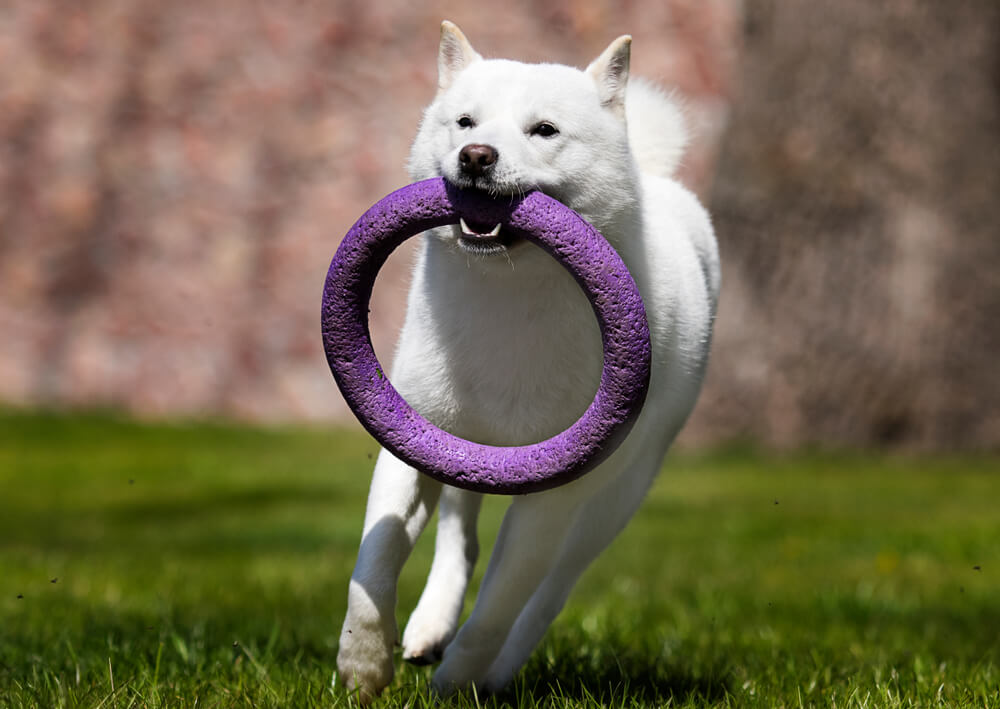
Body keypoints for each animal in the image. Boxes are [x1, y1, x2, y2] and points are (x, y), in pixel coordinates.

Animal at [336, 20, 720, 696]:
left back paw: (495, 671)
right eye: (465, 122)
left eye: (544, 130)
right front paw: (362, 663)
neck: (506, 294)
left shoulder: (556, 498)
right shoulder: (413, 443)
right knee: (460, 538)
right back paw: (429, 626)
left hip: (613, 502)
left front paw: (458, 681)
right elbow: (376, 559)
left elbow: (502, 601)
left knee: (547, 594)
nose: (476, 156)